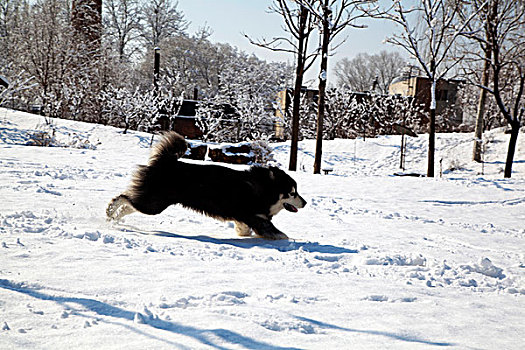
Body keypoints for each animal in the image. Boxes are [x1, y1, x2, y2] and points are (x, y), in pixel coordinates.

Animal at [107, 132, 308, 241]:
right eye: (293, 193)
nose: (305, 203)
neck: (265, 190)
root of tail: (166, 162)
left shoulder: (246, 218)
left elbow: (244, 230)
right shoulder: (258, 218)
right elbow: (279, 233)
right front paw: (294, 240)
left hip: (152, 201)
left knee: (129, 204)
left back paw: (114, 217)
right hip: (153, 204)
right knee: (123, 198)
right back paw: (110, 210)